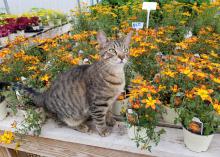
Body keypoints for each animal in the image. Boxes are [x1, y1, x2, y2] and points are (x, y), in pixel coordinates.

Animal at [0, 30, 132, 136]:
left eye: (125, 50)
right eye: (112, 50)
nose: (122, 57)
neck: (116, 75)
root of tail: (44, 95)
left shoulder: (109, 101)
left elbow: (108, 112)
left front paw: (110, 120)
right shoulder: (97, 104)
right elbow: (99, 119)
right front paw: (103, 130)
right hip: (69, 115)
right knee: (64, 122)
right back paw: (81, 126)